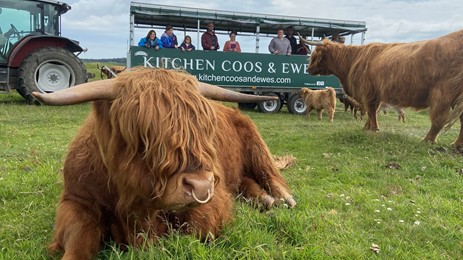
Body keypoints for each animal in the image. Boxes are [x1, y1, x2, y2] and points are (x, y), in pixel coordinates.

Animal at [31, 68, 298, 258]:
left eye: (206, 131)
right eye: (143, 136)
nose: (201, 186)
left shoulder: (214, 199)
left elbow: (193, 229)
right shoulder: (75, 200)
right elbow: (78, 237)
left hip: (256, 144)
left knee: (269, 174)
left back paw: (281, 198)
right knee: (246, 182)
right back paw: (265, 200)